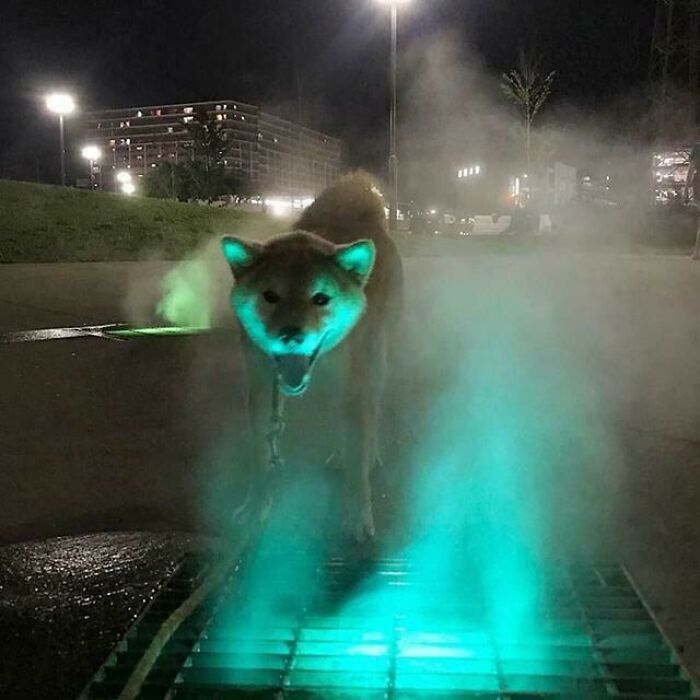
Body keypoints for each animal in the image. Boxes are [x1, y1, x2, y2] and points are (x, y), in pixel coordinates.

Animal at [221, 171, 402, 540]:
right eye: (270, 296)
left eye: (321, 298)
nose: (291, 335)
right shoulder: (260, 390)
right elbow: (260, 456)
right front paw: (256, 506)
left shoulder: (355, 385)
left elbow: (358, 466)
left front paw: (358, 515)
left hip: (374, 361)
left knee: (372, 412)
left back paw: (370, 451)